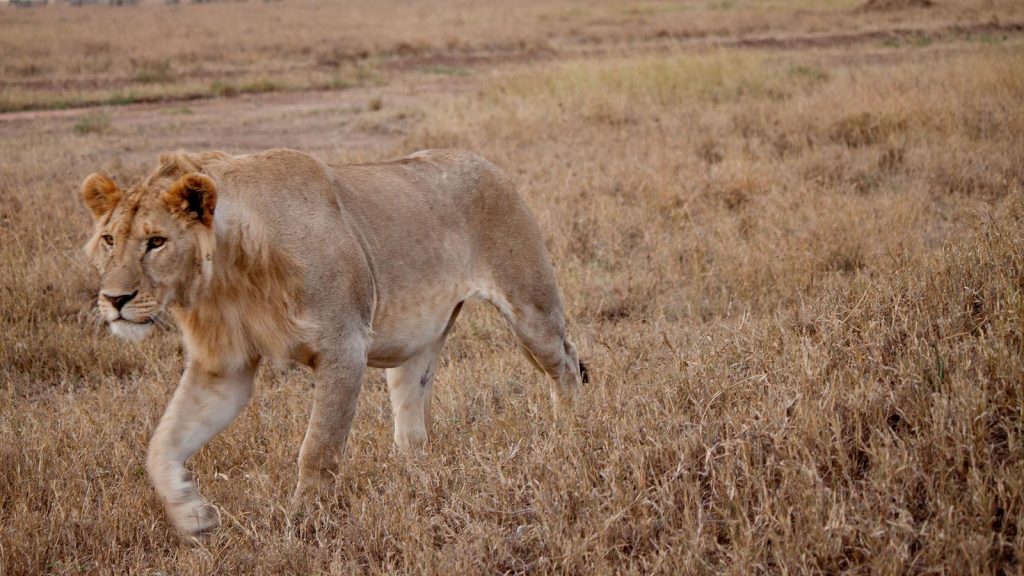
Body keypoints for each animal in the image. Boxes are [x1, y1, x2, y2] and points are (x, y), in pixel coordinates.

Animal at [80, 148, 587, 538]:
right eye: (109, 239)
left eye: (156, 242)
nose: (115, 299)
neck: (229, 271)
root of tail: (485, 162)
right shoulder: (224, 368)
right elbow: (162, 444)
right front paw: (191, 513)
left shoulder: (346, 346)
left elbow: (317, 447)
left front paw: (304, 521)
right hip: (413, 343)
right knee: (412, 419)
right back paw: (413, 476)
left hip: (530, 311)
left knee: (567, 364)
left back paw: (569, 435)